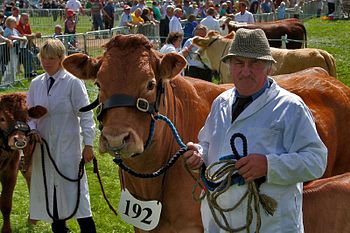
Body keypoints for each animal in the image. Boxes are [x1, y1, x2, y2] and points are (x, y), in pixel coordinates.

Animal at [0, 93, 46, 233]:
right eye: (2, 118)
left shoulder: (10, 171)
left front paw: (6, 230)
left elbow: (5, 203)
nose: (19, 140)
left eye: (27, 119)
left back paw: (32, 219)